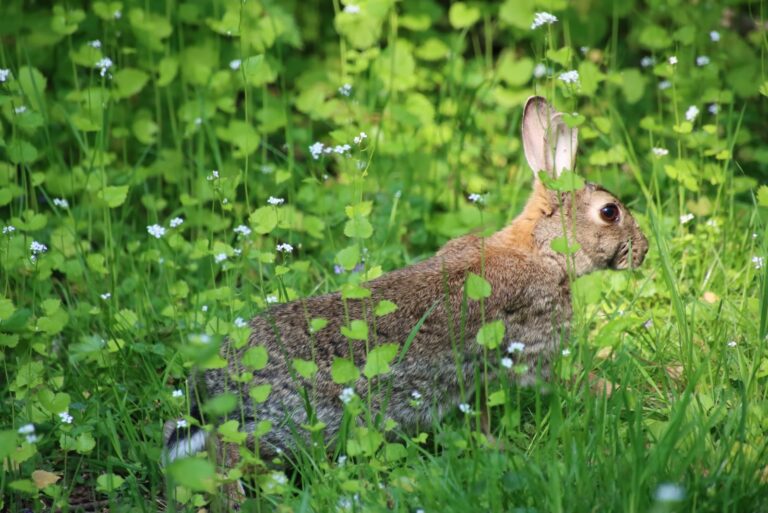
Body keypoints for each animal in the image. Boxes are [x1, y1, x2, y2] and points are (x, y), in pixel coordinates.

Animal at [164, 96, 648, 476]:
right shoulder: (533, 350)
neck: (541, 250)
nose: (642, 250)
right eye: (609, 212)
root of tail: (215, 387)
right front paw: (611, 393)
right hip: (291, 422)